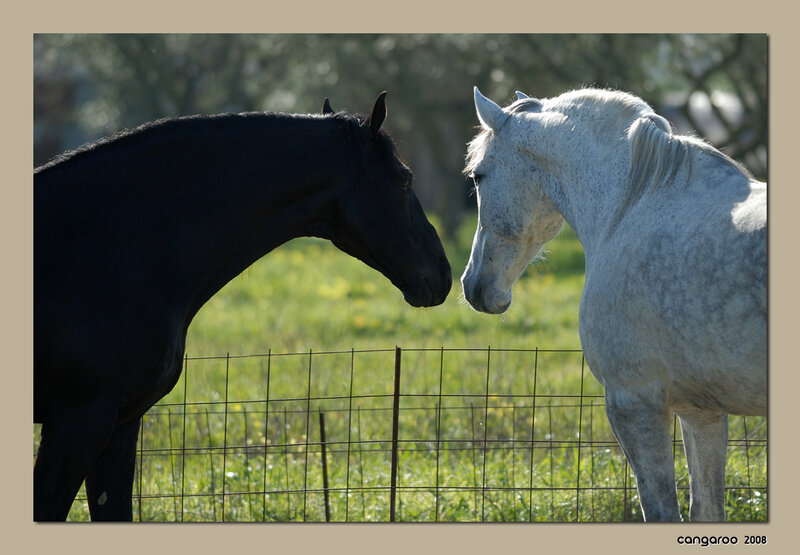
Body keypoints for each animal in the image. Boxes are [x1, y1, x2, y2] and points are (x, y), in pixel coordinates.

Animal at [461, 86, 766, 522]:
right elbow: (706, 508)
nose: (474, 285)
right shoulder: (701, 411)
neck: (629, 208)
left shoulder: (632, 401)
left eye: (478, 175)